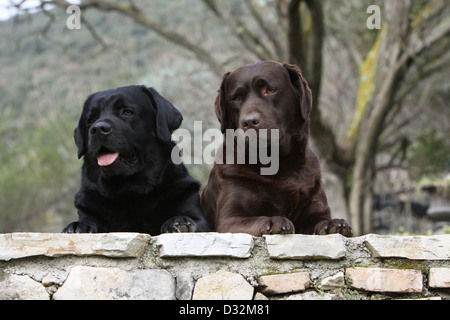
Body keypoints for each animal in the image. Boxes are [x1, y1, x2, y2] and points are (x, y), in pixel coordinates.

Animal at [63, 85, 211, 235]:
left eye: (128, 112)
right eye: (91, 120)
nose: (98, 129)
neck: (130, 189)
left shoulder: (195, 211)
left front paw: (179, 222)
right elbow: (88, 221)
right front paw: (78, 226)